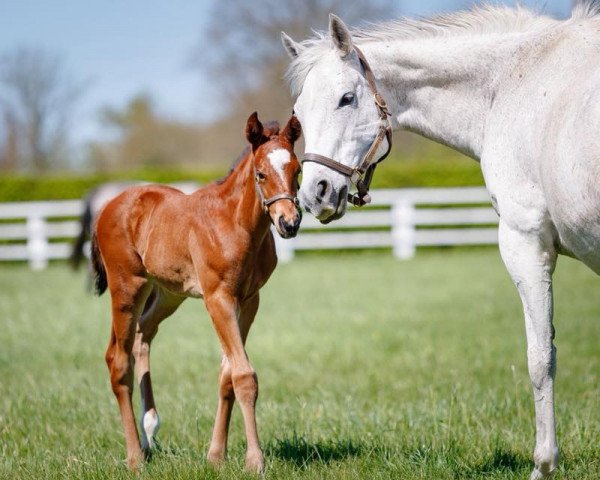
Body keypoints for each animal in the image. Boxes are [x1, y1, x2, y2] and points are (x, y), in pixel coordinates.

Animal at [91, 113, 302, 472]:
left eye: (297, 170)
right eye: (261, 173)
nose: (289, 222)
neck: (237, 225)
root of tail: (108, 205)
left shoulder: (249, 301)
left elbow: (227, 374)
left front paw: (216, 455)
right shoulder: (218, 298)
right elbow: (243, 375)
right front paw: (254, 460)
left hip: (166, 293)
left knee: (142, 335)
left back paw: (150, 433)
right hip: (127, 288)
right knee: (117, 361)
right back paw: (135, 457)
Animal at [282, 3, 600, 480]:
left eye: (346, 99)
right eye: (299, 112)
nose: (314, 193)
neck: (512, 80)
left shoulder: (525, 241)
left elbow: (540, 358)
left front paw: (544, 464)